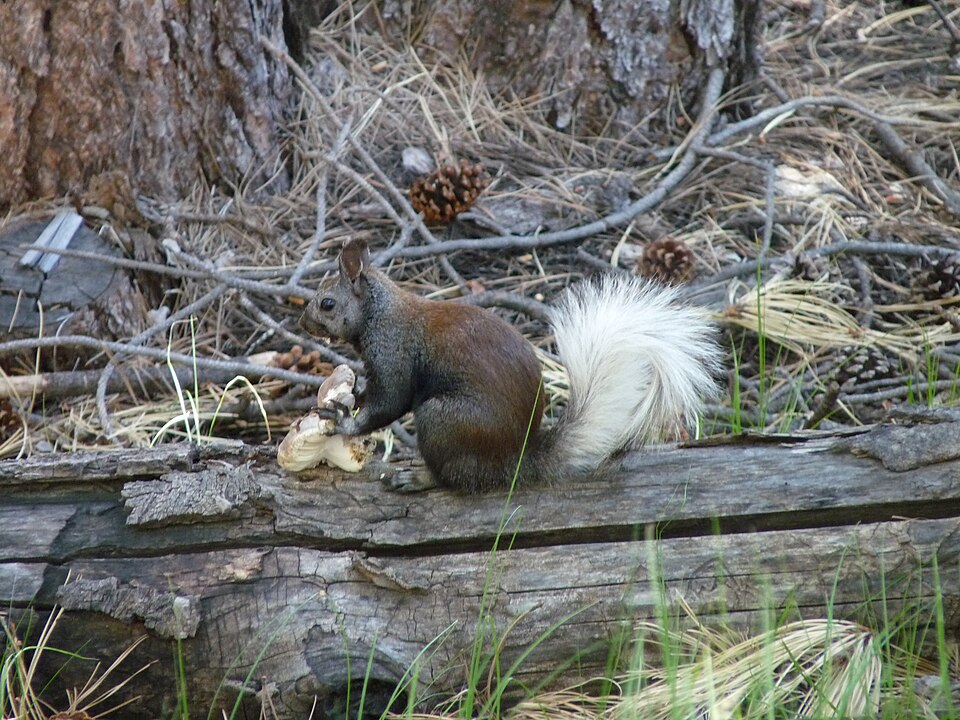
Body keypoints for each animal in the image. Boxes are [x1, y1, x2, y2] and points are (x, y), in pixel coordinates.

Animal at [299, 239, 722, 493]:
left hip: (444, 420)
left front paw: (344, 422)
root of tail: (516, 460)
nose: (303, 324)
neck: (380, 313)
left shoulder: (393, 354)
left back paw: (417, 477)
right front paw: (345, 395)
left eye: (327, 303)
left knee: (455, 480)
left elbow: (389, 401)